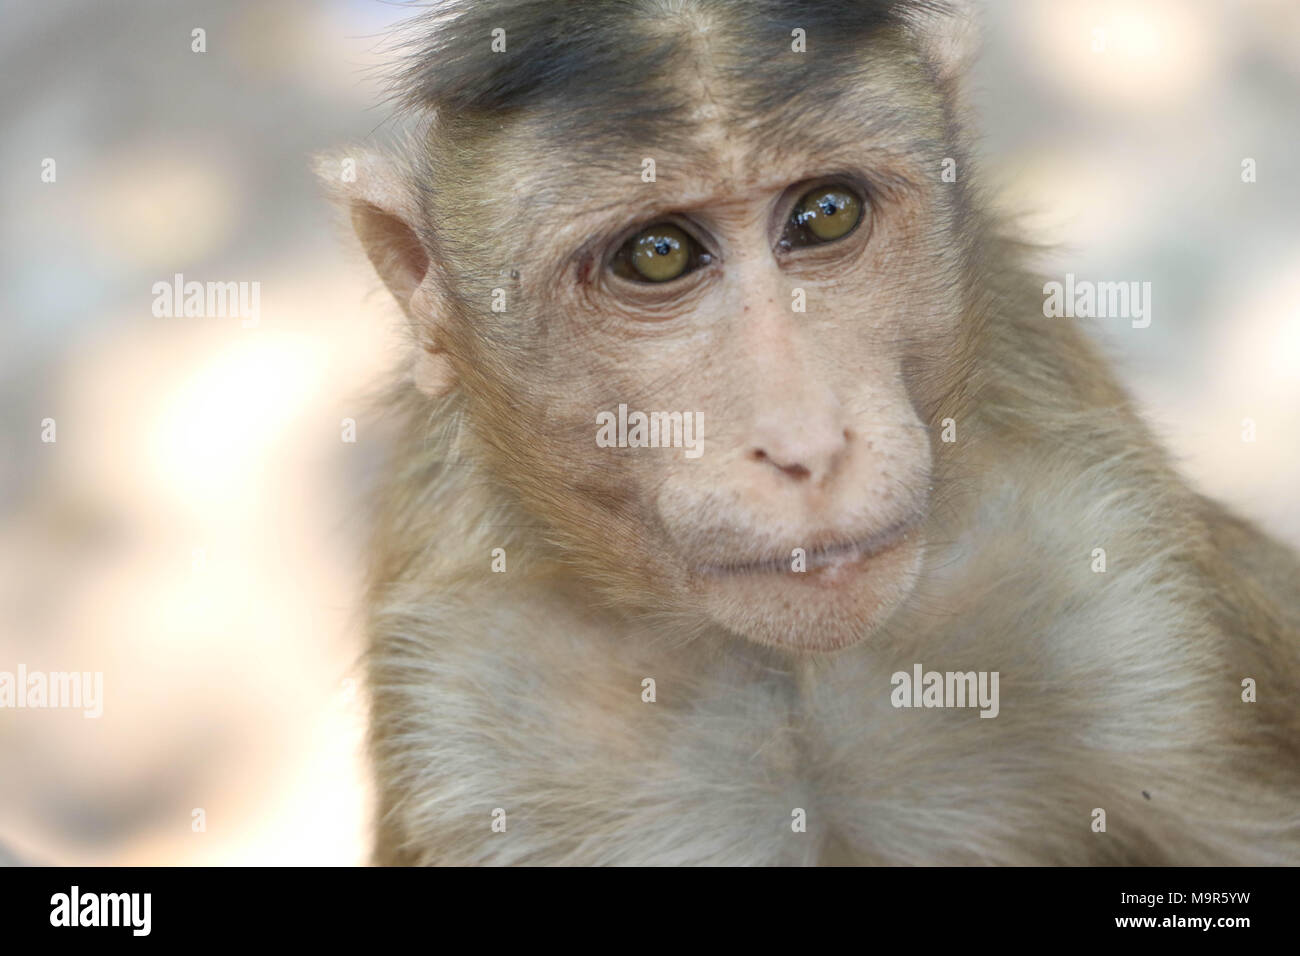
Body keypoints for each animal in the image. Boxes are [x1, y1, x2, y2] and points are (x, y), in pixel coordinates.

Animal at [322, 0, 1300, 865]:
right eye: (658, 255)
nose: (808, 445)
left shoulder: (1117, 579)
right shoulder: (466, 711)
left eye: (826, 213)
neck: (793, 669)